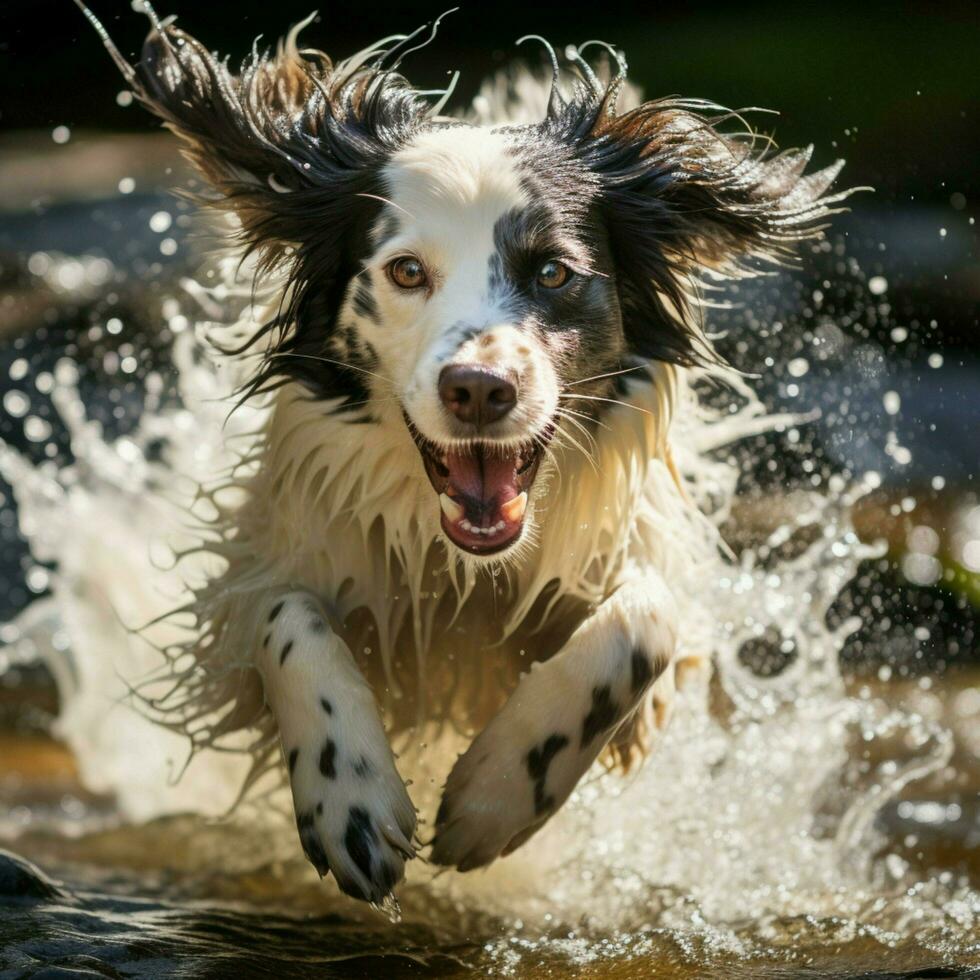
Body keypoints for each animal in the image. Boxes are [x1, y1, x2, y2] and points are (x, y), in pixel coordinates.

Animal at [76, 5, 848, 904]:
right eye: (407, 271)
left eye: (553, 272)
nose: (479, 389)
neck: (465, 572)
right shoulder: (271, 561)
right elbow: (287, 616)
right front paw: (350, 801)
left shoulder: (640, 546)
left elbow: (645, 622)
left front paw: (497, 794)